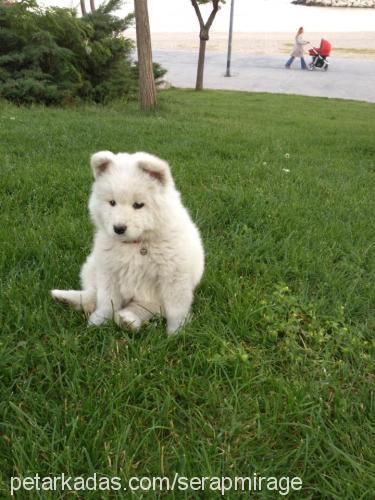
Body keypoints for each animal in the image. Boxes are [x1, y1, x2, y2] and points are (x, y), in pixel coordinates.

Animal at [51, 150, 204, 334]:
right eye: (112, 202)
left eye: (138, 205)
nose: (118, 228)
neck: (136, 244)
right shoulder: (109, 271)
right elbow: (107, 301)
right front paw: (100, 321)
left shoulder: (174, 276)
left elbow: (176, 309)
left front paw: (177, 332)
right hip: (91, 265)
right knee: (93, 294)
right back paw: (66, 298)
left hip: (153, 302)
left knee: (141, 308)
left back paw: (127, 320)